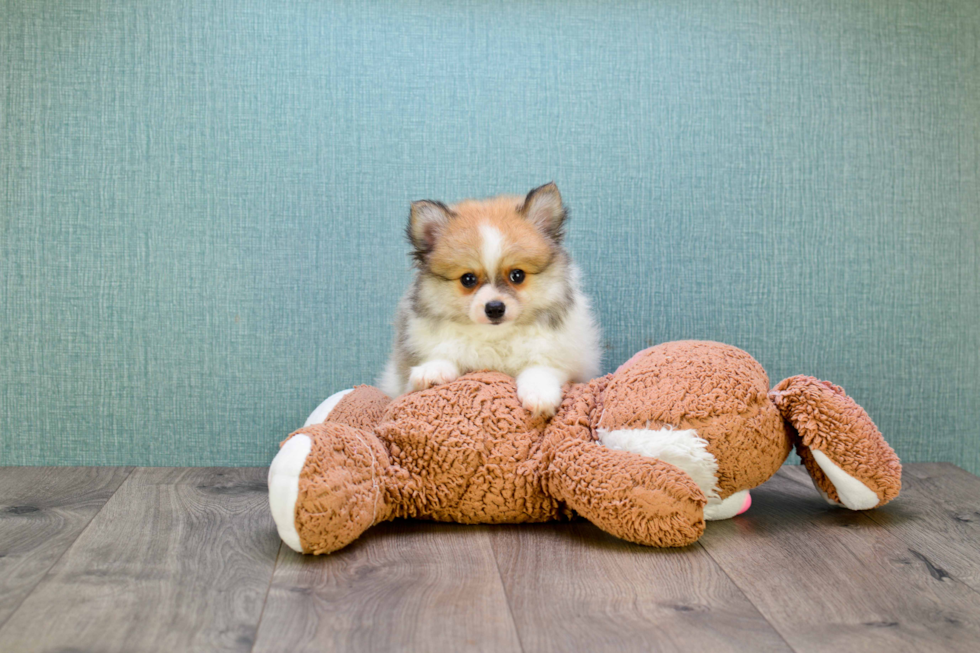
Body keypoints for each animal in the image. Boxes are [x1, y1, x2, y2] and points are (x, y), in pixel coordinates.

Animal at [378, 182, 600, 418]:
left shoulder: (568, 363)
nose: (494, 308)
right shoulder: (402, 381)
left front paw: (539, 395)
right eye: (468, 279)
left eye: (517, 275)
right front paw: (432, 370)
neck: (495, 338)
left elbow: (540, 369)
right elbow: (443, 357)